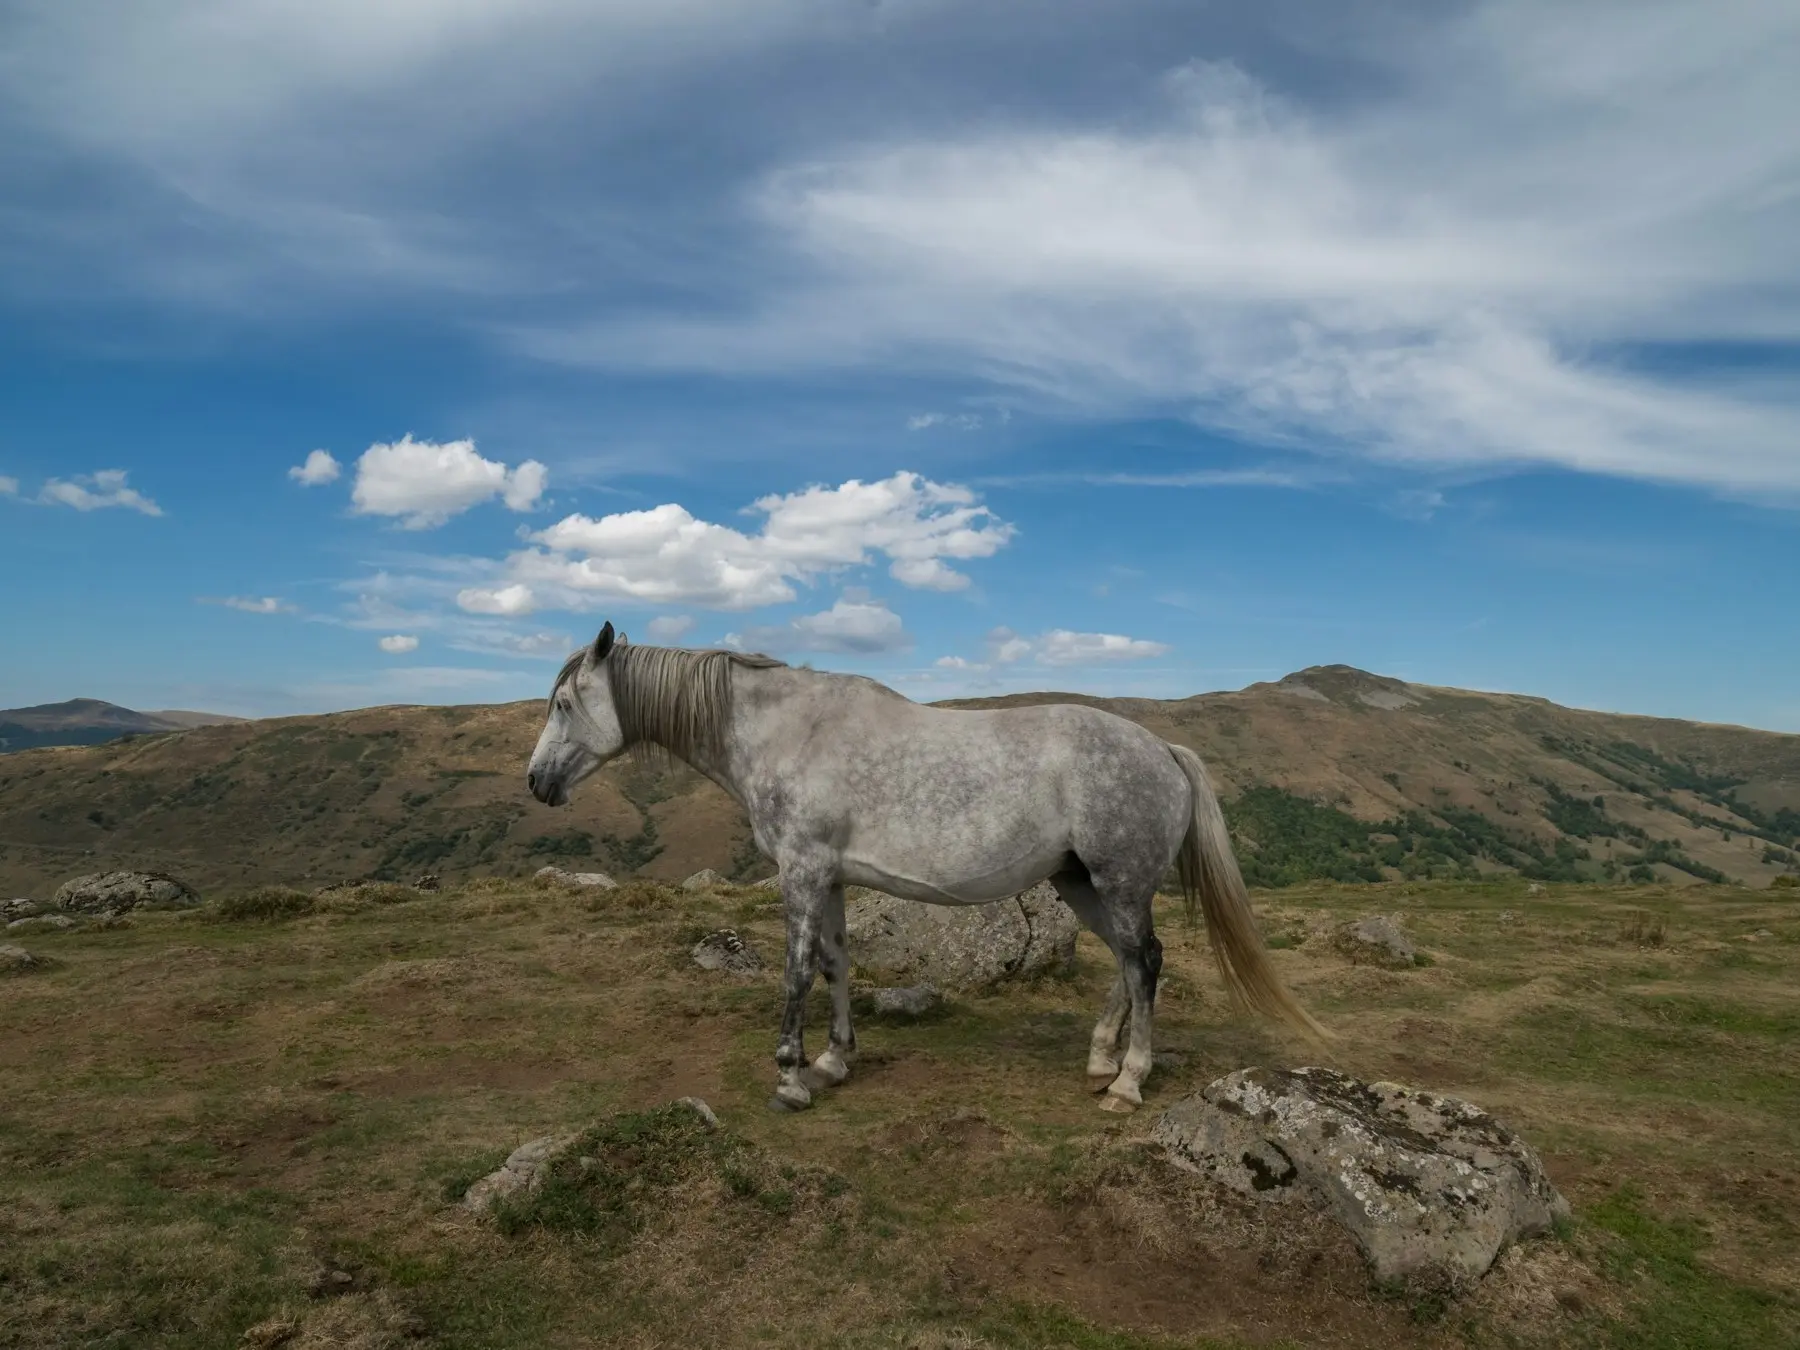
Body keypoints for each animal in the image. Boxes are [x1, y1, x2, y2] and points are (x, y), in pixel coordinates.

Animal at [525, 630, 1324, 1116]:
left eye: (564, 703)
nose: (536, 782)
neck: (788, 731)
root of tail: (1162, 749)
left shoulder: (802, 873)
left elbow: (795, 972)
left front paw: (789, 1076)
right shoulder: (831, 878)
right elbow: (836, 964)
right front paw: (834, 1062)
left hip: (1120, 884)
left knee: (1147, 961)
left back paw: (1129, 1082)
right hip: (1082, 884)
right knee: (1130, 962)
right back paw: (1103, 1059)